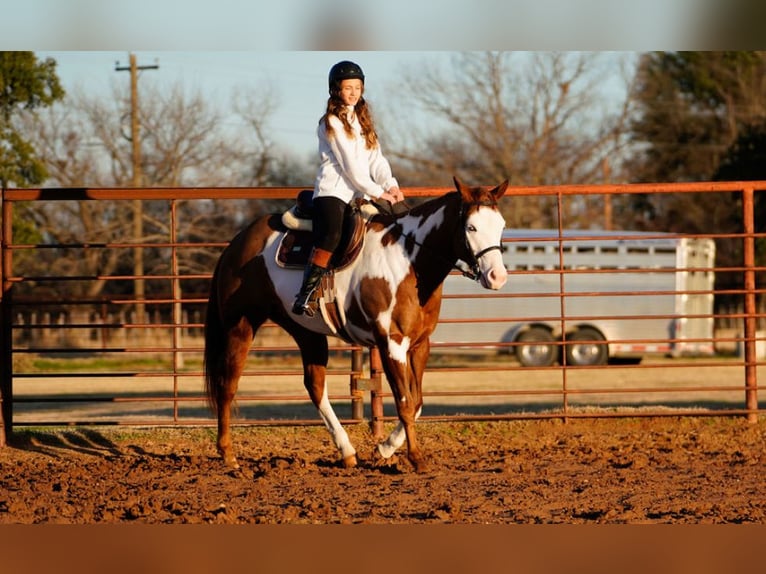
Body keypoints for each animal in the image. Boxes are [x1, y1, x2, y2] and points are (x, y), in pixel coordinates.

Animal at [204, 178, 510, 474]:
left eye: (501, 226)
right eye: (471, 226)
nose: (497, 276)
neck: (408, 261)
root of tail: (238, 243)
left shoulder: (420, 344)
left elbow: (418, 401)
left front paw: (385, 448)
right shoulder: (391, 343)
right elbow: (405, 403)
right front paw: (416, 458)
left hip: (306, 331)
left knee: (315, 386)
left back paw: (347, 452)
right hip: (240, 325)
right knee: (227, 384)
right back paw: (228, 455)